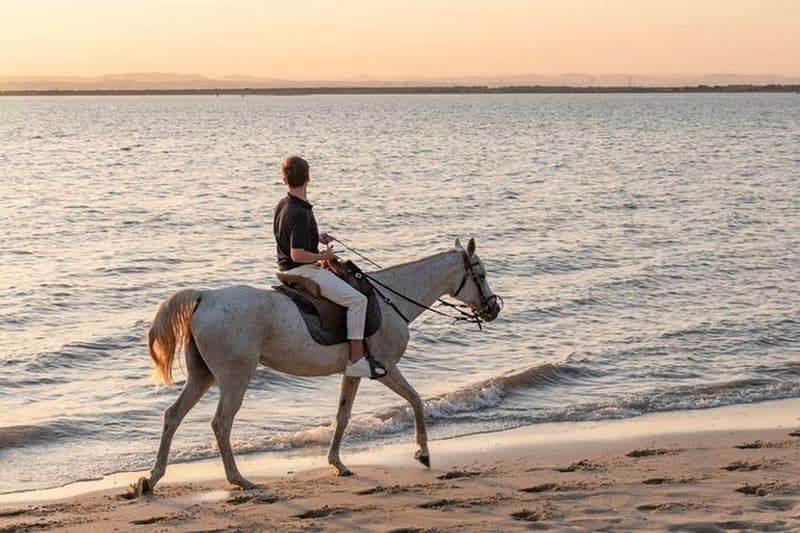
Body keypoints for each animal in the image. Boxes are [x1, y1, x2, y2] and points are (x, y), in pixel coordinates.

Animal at [135, 237, 501, 494]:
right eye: (480, 274)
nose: (494, 308)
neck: (391, 299)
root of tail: (206, 297)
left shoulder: (354, 373)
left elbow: (342, 416)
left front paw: (337, 463)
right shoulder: (386, 368)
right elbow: (416, 399)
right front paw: (422, 453)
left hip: (203, 376)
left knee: (173, 416)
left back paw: (151, 479)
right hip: (234, 378)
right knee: (221, 424)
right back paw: (239, 479)